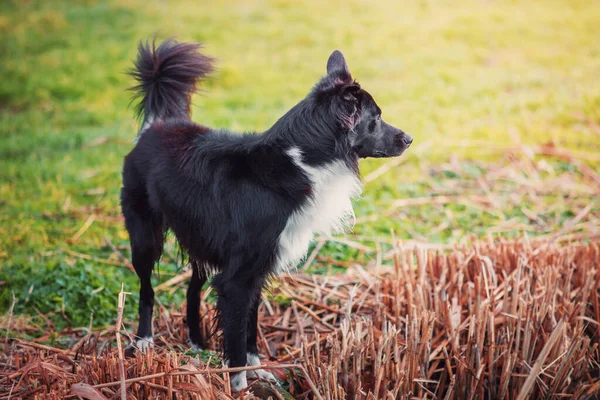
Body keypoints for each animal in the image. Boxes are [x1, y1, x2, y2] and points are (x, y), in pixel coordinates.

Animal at [122, 38, 412, 390]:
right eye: (376, 119)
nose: (409, 139)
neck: (300, 161)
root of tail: (157, 126)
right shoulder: (238, 278)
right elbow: (235, 335)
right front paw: (238, 386)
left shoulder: (257, 270)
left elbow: (250, 327)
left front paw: (258, 370)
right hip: (145, 237)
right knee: (146, 289)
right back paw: (144, 341)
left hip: (199, 238)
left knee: (192, 288)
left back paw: (196, 342)